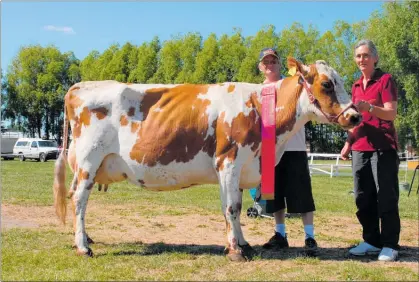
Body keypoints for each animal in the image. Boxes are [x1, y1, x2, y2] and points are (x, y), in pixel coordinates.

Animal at [53, 57, 360, 262]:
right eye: (326, 83)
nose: (355, 116)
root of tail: (79, 86)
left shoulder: (242, 167)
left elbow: (236, 206)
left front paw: (243, 244)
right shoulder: (229, 161)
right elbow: (231, 208)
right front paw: (235, 250)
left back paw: (86, 238)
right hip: (88, 161)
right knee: (79, 200)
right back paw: (83, 246)